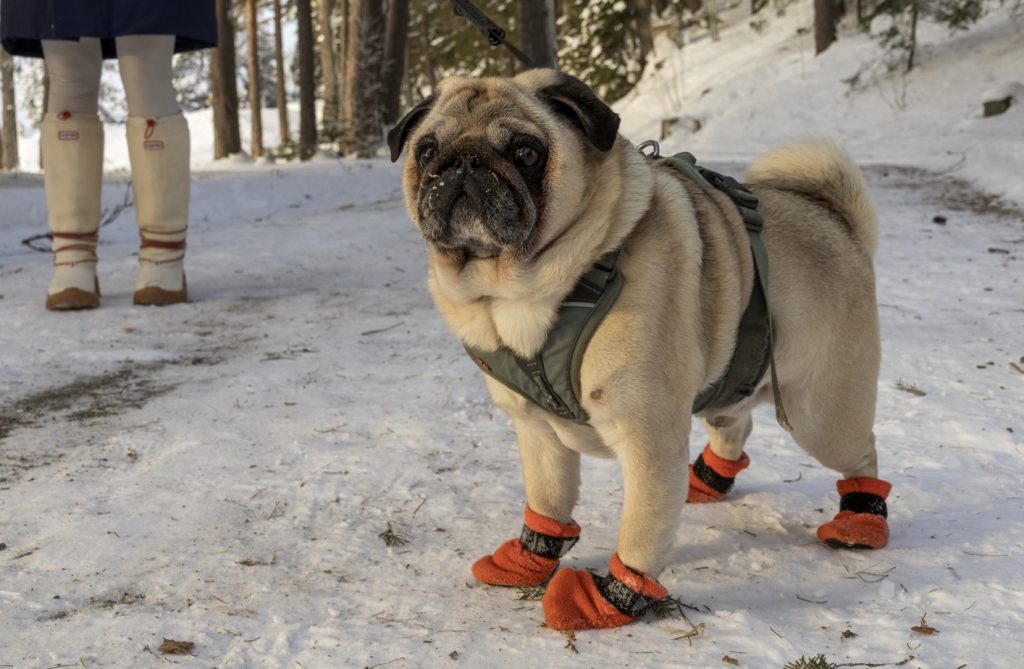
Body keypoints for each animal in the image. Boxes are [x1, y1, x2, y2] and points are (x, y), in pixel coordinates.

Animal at [387, 70, 892, 626]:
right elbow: (547, 499)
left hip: (820, 414)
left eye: (526, 152)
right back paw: (705, 481)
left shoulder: (646, 439)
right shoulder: (537, 431)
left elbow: (640, 532)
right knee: (735, 424)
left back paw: (860, 522)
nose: (463, 162)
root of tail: (841, 223)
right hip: (732, 384)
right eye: (427, 150)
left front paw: (608, 599)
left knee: (861, 454)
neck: (518, 295)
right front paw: (528, 558)